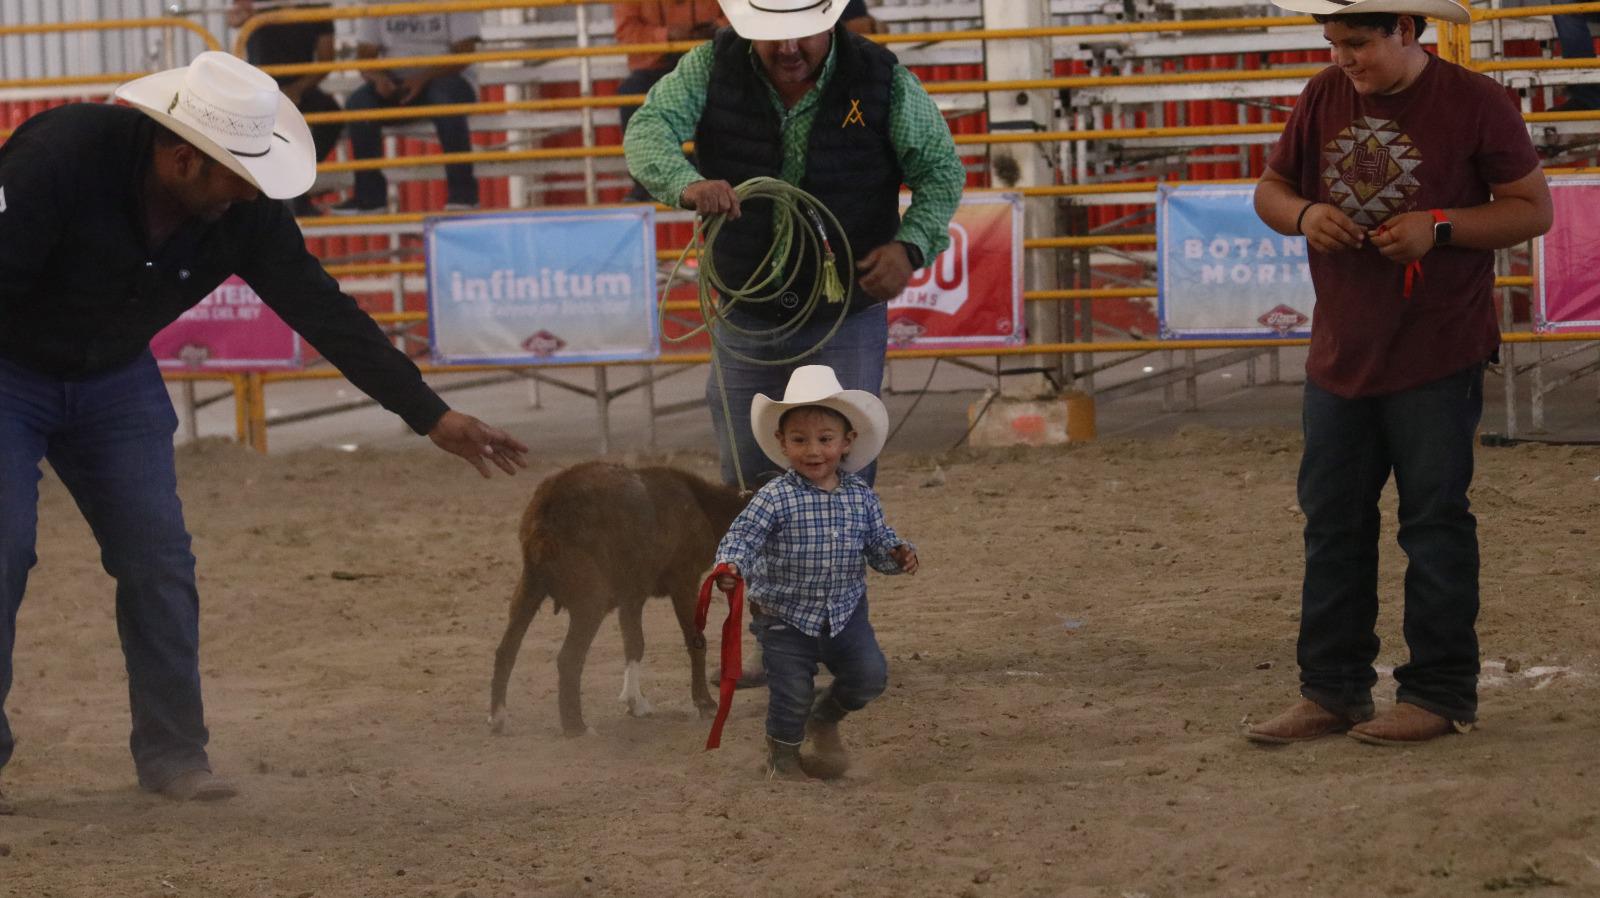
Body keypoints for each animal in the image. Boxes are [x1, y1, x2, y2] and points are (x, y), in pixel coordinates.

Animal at [486, 461, 748, 736]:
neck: (703, 505)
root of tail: (546, 510)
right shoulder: (684, 579)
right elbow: (695, 640)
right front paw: (705, 703)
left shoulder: (633, 594)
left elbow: (634, 642)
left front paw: (636, 703)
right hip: (591, 599)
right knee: (568, 658)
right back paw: (576, 727)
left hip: (529, 586)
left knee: (506, 650)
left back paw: (499, 717)